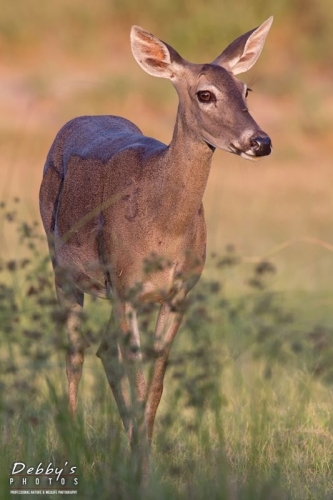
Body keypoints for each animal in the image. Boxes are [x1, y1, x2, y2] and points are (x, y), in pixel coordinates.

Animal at [39, 17, 272, 478]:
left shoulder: (180, 291)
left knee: (103, 350)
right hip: (63, 267)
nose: (261, 141)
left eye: (247, 89)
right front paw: (140, 464)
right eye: (205, 93)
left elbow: (157, 380)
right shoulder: (124, 284)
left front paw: (144, 458)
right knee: (75, 352)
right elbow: (138, 373)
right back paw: (72, 445)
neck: (163, 227)